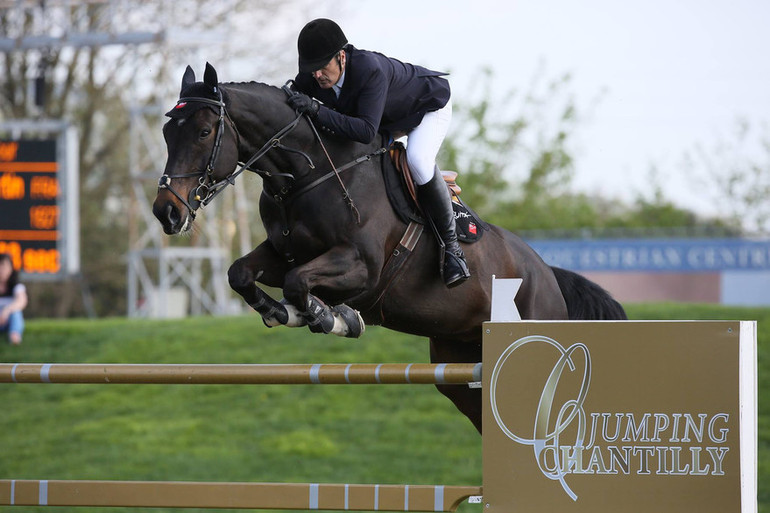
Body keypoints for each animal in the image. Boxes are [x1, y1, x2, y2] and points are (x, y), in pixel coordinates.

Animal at [152, 64, 624, 432]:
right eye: (165, 133)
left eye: (204, 131)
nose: (166, 213)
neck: (307, 174)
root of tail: (547, 275)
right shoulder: (283, 251)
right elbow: (241, 273)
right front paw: (282, 313)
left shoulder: (361, 267)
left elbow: (298, 283)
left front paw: (334, 318)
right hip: (457, 370)